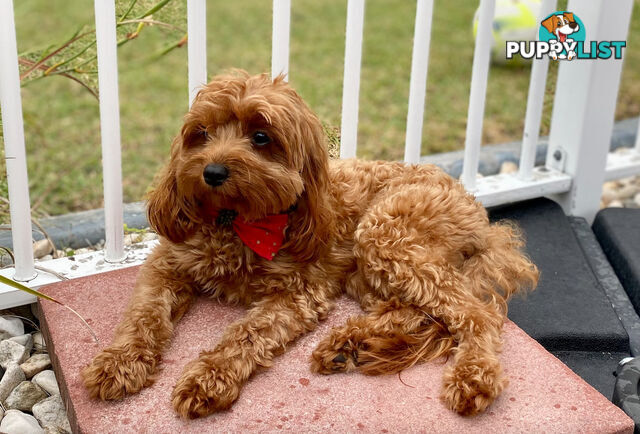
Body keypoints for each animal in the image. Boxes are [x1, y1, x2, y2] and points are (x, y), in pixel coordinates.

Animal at [82, 70, 536, 418]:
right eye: (202, 133)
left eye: (260, 136)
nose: (211, 172)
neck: (235, 223)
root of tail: (479, 213)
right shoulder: (167, 265)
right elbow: (143, 314)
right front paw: (120, 362)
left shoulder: (299, 292)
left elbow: (245, 334)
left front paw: (209, 377)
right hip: (370, 271)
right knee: (419, 313)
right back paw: (350, 345)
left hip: (384, 233)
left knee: (475, 315)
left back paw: (472, 376)